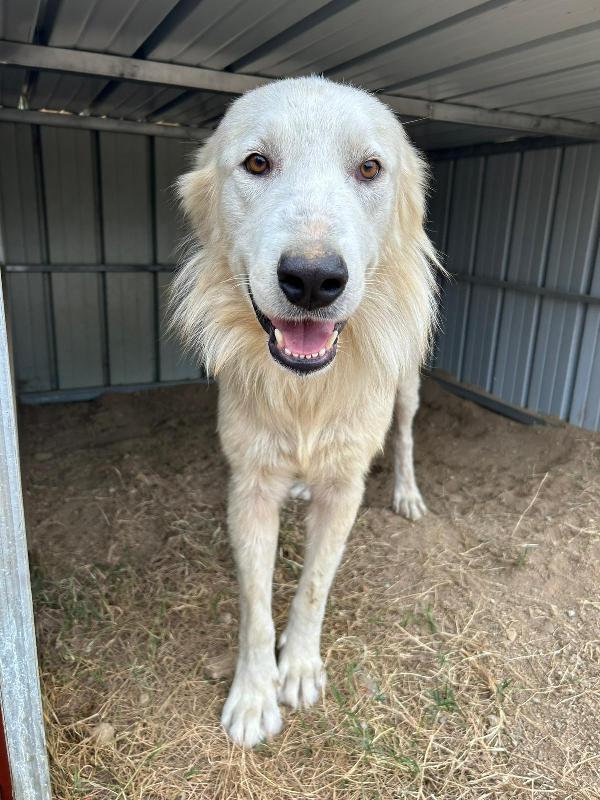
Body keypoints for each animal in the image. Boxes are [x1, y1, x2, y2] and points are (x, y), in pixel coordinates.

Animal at [171, 78, 438, 748]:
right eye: (256, 163)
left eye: (369, 168)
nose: (313, 280)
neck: (305, 393)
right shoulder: (249, 485)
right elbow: (255, 608)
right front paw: (253, 696)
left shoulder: (345, 487)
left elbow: (314, 588)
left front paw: (298, 670)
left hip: (407, 388)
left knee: (405, 438)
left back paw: (408, 493)